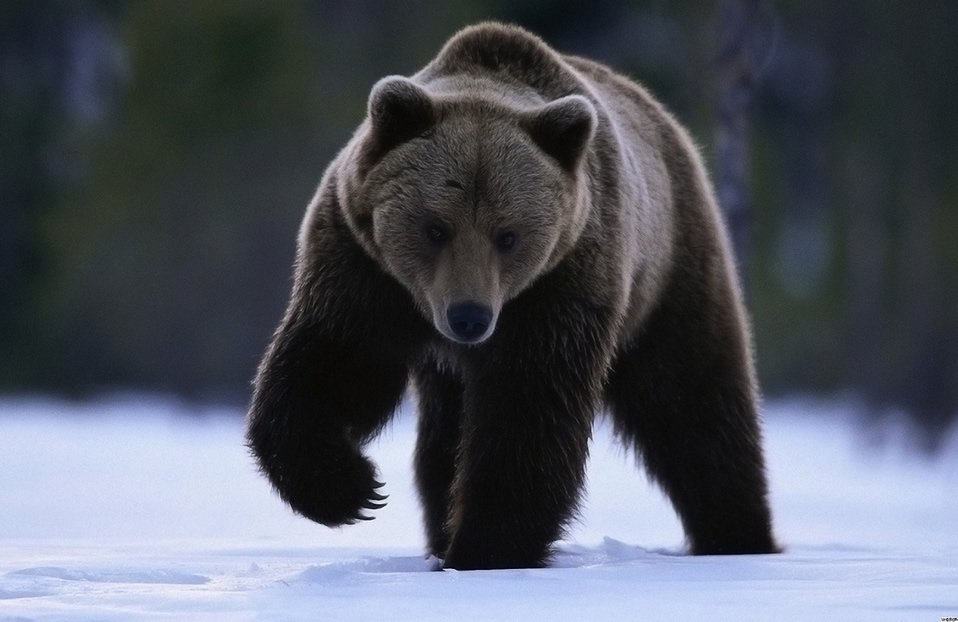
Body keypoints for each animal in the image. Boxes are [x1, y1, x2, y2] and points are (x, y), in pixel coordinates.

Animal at [246, 22, 778, 570]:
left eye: (508, 235)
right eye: (436, 227)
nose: (469, 316)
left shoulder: (561, 284)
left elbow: (528, 409)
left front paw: (485, 548)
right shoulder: (363, 268)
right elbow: (334, 362)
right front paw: (350, 489)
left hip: (670, 272)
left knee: (693, 403)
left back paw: (737, 535)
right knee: (442, 441)